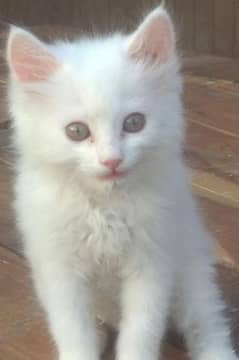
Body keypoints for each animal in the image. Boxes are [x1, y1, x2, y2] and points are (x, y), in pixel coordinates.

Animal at [6, 4, 238, 360]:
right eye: (77, 131)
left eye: (134, 123)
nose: (111, 160)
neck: (105, 207)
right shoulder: (60, 271)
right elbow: (74, 333)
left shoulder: (152, 264)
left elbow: (141, 333)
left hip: (192, 270)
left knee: (207, 322)